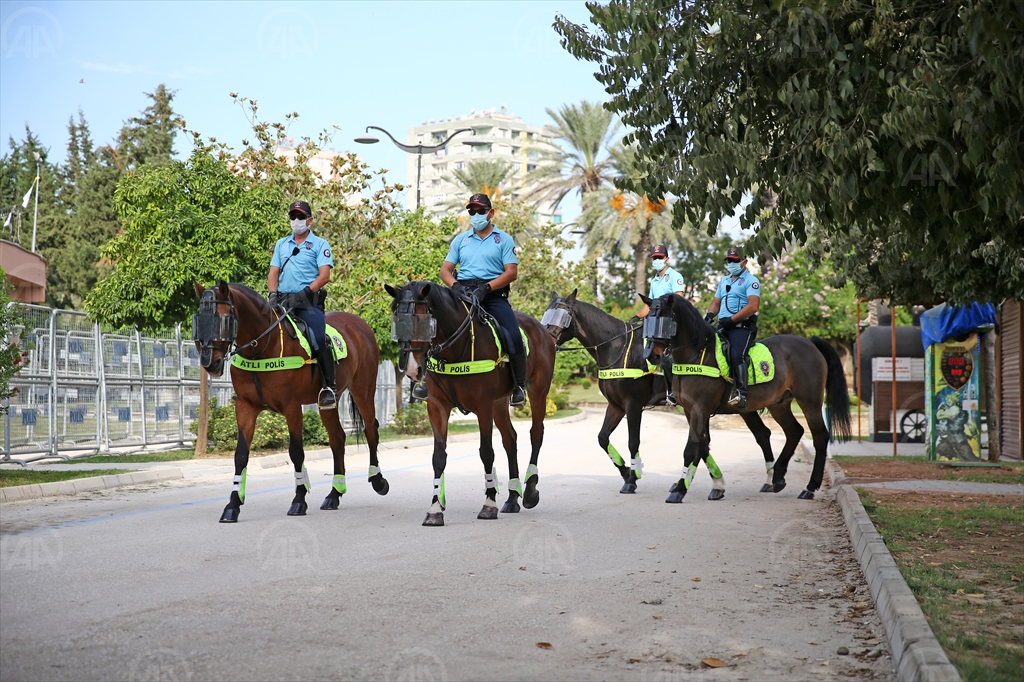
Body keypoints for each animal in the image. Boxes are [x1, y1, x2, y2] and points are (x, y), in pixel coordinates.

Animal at [192, 280, 387, 520]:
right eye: (198, 321)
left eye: (223, 320)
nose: (210, 363)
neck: (263, 347)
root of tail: (359, 324)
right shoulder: (245, 407)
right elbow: (241, 455)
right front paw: (233, 505)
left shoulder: (292, 407)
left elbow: (296, 452)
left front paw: (299, 500)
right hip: (328, 402)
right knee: (337, 438)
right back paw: (334, 494)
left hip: (363, 392)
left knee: (371, 431)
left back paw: (378, 481)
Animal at [385, 280, 557, 524]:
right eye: (397, 322)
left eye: (424, 323)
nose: (410, 368)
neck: (455, 351)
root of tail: (542, 329)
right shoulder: (437, 407)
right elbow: (439, 456)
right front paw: (435, 509)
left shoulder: (483, 406)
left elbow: (486, 452)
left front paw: (489, 504)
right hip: (499, 402)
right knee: (510, 439)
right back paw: (512, 498)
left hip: (538, 391)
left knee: (536, 433)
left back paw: (530, 491)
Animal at [643, 290, 851, 499]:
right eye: (648, 321)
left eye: (665, 321)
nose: (652, 355)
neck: (696, 354)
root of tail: (809, 342)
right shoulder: (690, 410)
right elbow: (702, 445)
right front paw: (716, 484)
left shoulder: (699, 408)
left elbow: (691, 448)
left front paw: (679, 489)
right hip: (778, 404)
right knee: (794, 431)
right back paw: (777, 477)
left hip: (809, 401)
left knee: (819, 436)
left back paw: (809, 487)